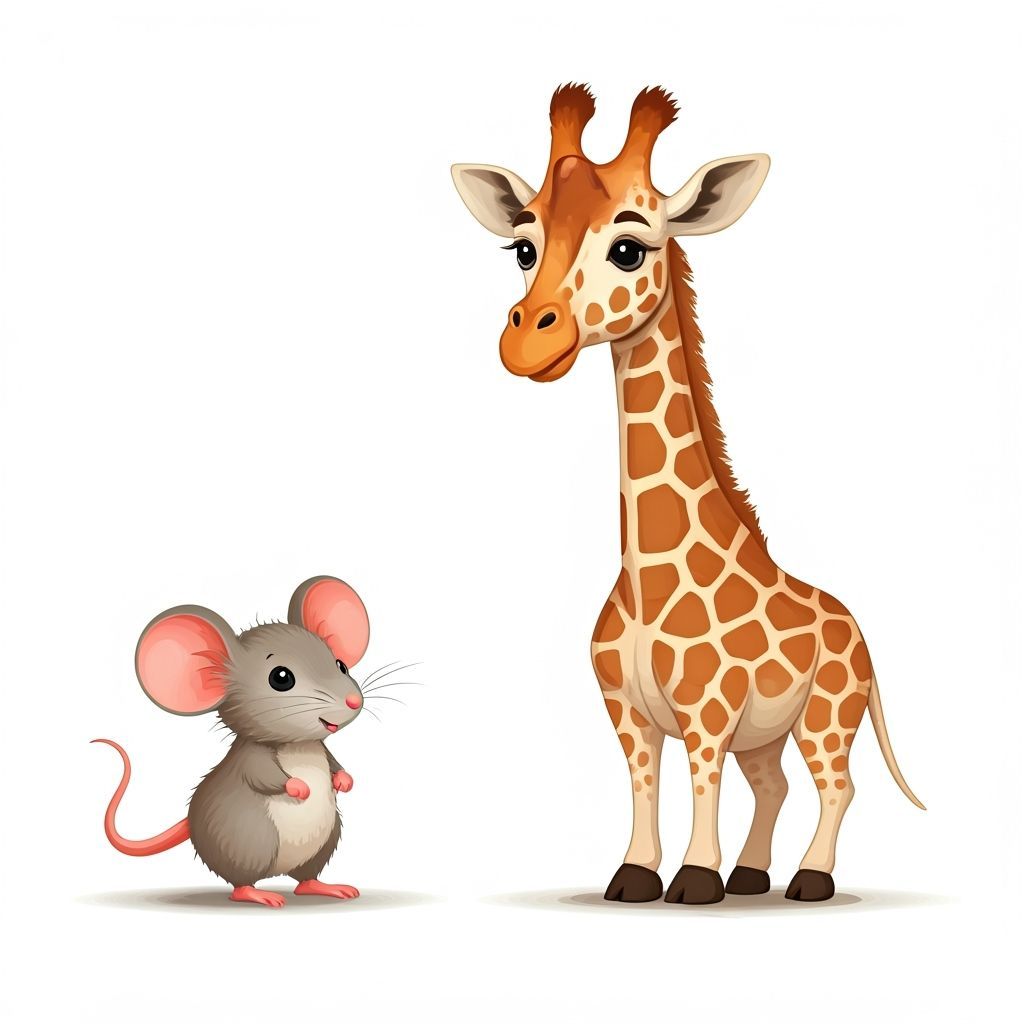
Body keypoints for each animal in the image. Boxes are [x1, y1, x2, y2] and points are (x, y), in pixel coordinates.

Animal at [452, 84, 924, 904]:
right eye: (522, 247)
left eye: (629, 247)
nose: (528, 343)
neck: (647, 577)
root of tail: (858, 629)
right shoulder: (628, 712)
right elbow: (644, 784)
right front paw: (637, 874)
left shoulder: (710, 709)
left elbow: (703, 782)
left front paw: (696, 879)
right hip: (772, 732)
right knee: (775, 784)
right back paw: (754, 875)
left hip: (830, 712)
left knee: (837, 785)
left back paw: (808, 879)